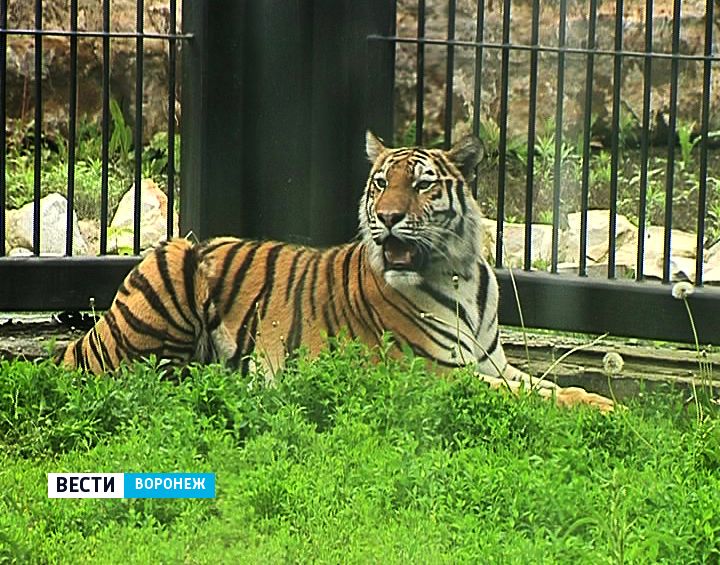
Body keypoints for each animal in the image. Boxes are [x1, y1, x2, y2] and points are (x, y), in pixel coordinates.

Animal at [59, 134, 616, 412]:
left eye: (422, 184)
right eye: (381, 183)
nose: (387, 217)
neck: (458, 272)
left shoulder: (492, 363)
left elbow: (544, 385)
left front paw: (605, 404)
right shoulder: (428, 371)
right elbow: (523, 396)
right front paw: (601, 409)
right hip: (172, 265)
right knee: (151, 381)